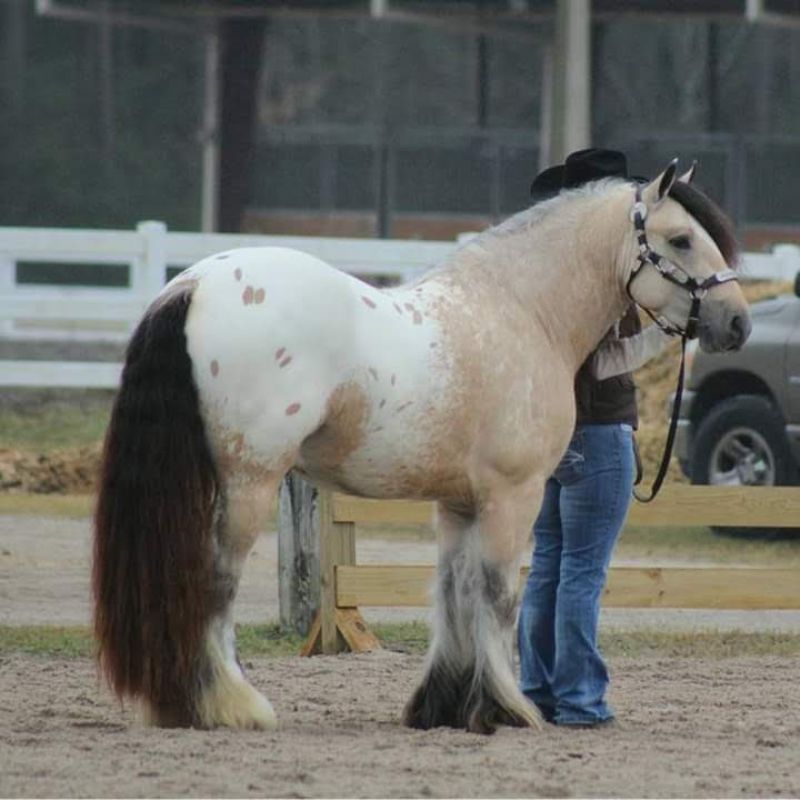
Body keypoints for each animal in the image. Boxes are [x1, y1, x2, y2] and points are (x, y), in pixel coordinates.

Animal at [92, 159, 752, 736]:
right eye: (681, 239)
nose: (738, 323)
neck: (521, 311)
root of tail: (191, 285)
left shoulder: (458, 503)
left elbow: (452, 591)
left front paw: (445, 706)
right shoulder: (513, 496)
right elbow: (499, 595)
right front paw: (506, 710)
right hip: (247, 484)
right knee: (215, 586)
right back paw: (234, 705)